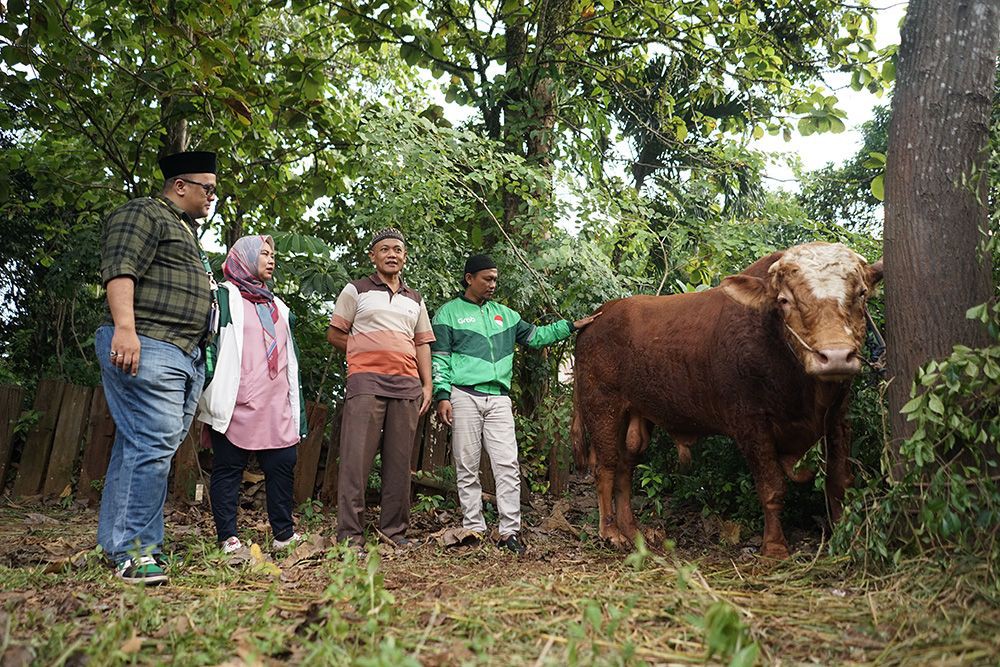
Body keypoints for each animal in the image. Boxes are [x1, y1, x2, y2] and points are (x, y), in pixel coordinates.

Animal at [572, 241, 884, 560]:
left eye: (861, 294)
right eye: (784, 300)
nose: (836, 356)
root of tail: (595, 319)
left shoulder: (837, 419)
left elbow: (839, 481)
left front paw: (849, 541)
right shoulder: (751, 424)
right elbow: (772, 487)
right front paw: (774, 547)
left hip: (636, 415)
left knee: (625, 469)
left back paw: (632, 531)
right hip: (602, 408)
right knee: (606, 467)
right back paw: (610, 533)